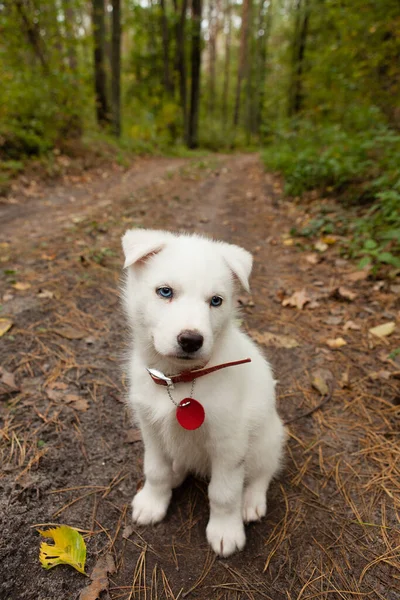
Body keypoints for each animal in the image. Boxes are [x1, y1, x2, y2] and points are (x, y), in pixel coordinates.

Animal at [121, 227, 284, 556]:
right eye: (165, 292)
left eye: (216, 301)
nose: (191, 340)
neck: (180, 380)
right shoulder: (150, 429)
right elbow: (155, 470)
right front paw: (153, 502)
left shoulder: (229, 442)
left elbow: (224, 493)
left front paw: (225, 531)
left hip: (267, 439)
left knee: (263, 472)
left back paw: (252, 501)